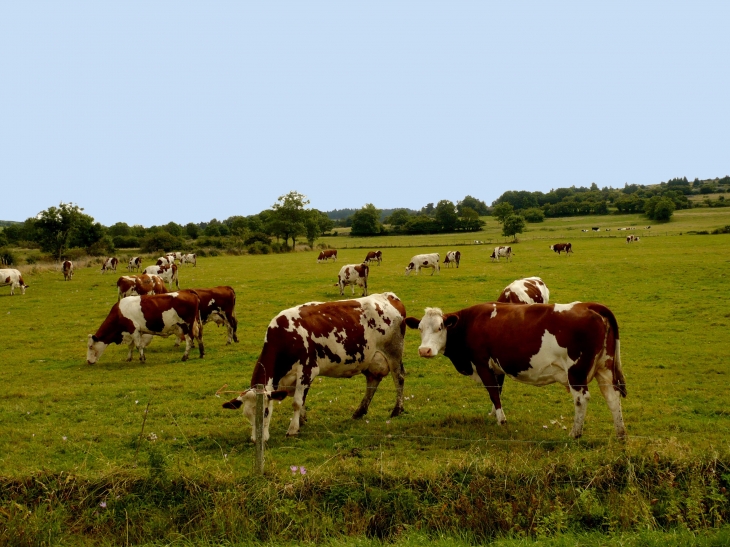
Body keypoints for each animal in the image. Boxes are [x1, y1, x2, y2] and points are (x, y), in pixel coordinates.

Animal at [219, 294, 406, 444]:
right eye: (246, 415)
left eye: (265, 412)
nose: (256, 440)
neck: (285, 336)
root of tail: (389, 296)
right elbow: (301, 402)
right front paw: (301, 421)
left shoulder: (307, 370)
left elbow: (296, 402)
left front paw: (293, 429)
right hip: (370, 360)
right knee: (372, 382)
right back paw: (359, 412)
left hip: (394, 353)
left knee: (399, 379)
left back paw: (397, 410)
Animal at [404, 302, 624, 438]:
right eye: (420, 329)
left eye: (440, 327)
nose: (424, 350)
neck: (470, 323)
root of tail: (588, 305)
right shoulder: (497, 367)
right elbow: (498, 392)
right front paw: (493, 413)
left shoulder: (482, 364)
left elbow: (493, 391)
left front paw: (501, 420)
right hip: (604, 368)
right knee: (613, 397)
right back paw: (620, 434)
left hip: (576, 372)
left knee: (581, 399)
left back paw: (575, 433)